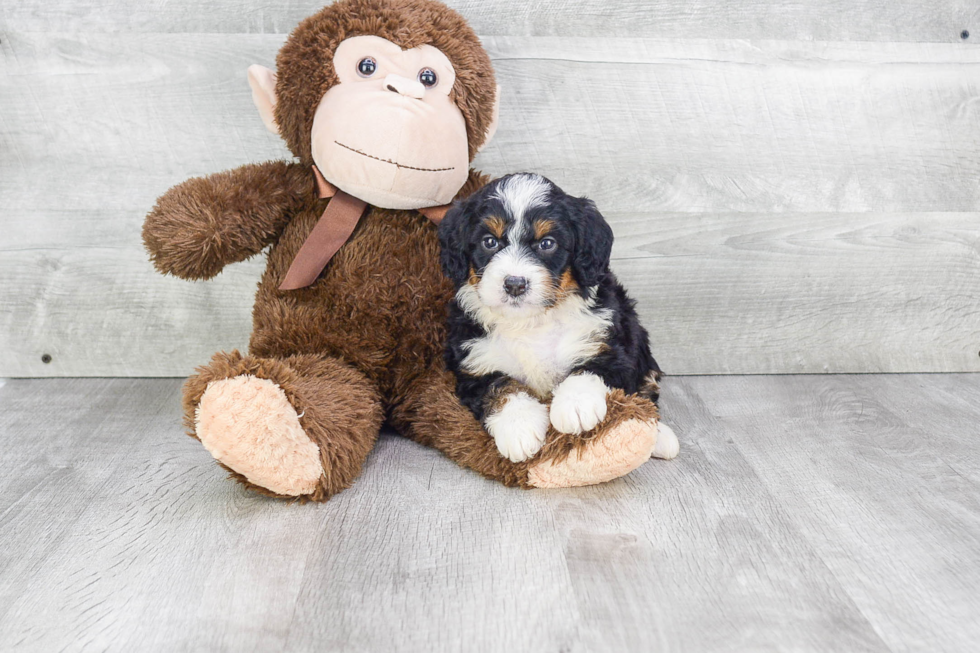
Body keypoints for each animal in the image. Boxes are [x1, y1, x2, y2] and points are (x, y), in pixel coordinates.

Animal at [436, 172, 672, 458]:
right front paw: (519, 427)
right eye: (489, 241)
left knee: (647, 386)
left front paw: (575, 405)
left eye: (547, 244)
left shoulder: (611, 346)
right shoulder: (474, 364)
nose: (515, 284)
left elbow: (592, 369)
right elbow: (500, 386)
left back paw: (660, 437)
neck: (532, 322)